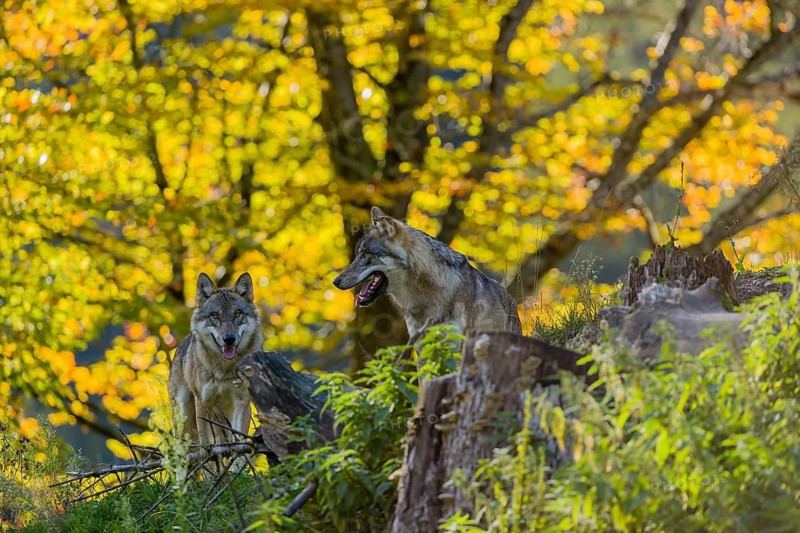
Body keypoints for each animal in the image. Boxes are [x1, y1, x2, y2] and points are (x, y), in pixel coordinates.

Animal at [168, 272, 263, 444]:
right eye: (215, 315)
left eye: (237, 314)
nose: (229, 339)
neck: (225, 369)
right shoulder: (203, 402)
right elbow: (205, 442)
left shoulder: (242, 402)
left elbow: (240, 439)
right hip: (184, 414)